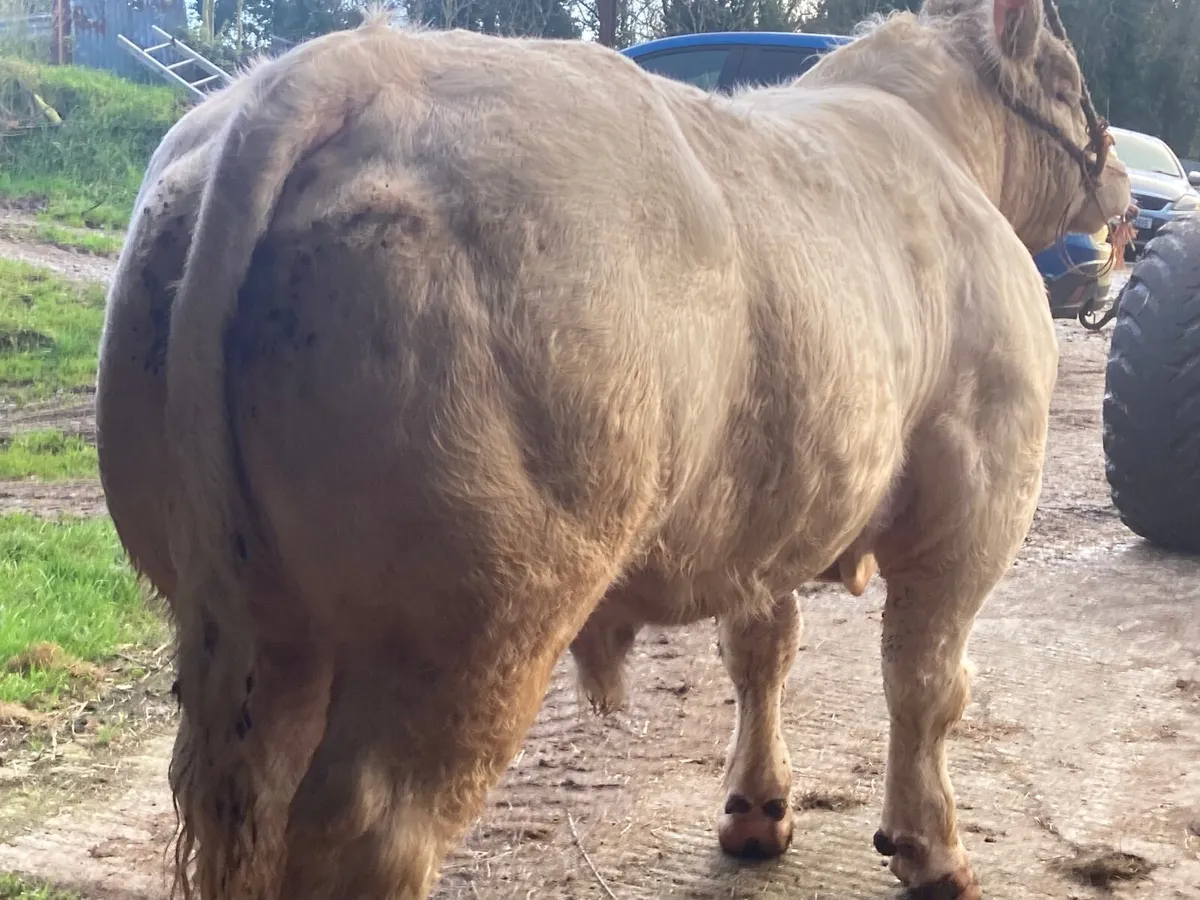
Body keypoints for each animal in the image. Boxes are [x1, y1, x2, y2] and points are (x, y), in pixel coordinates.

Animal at [95, 0, 1130, 897]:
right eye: (1073, 78)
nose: (1123, 180)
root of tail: (355, 62)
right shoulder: (982, 484)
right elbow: (926, 682)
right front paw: (934, 851)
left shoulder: (775, 500)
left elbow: (762, 648)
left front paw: (758, 809)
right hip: (475, 615)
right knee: (371, 828)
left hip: (255, 611)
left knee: (256, 802)